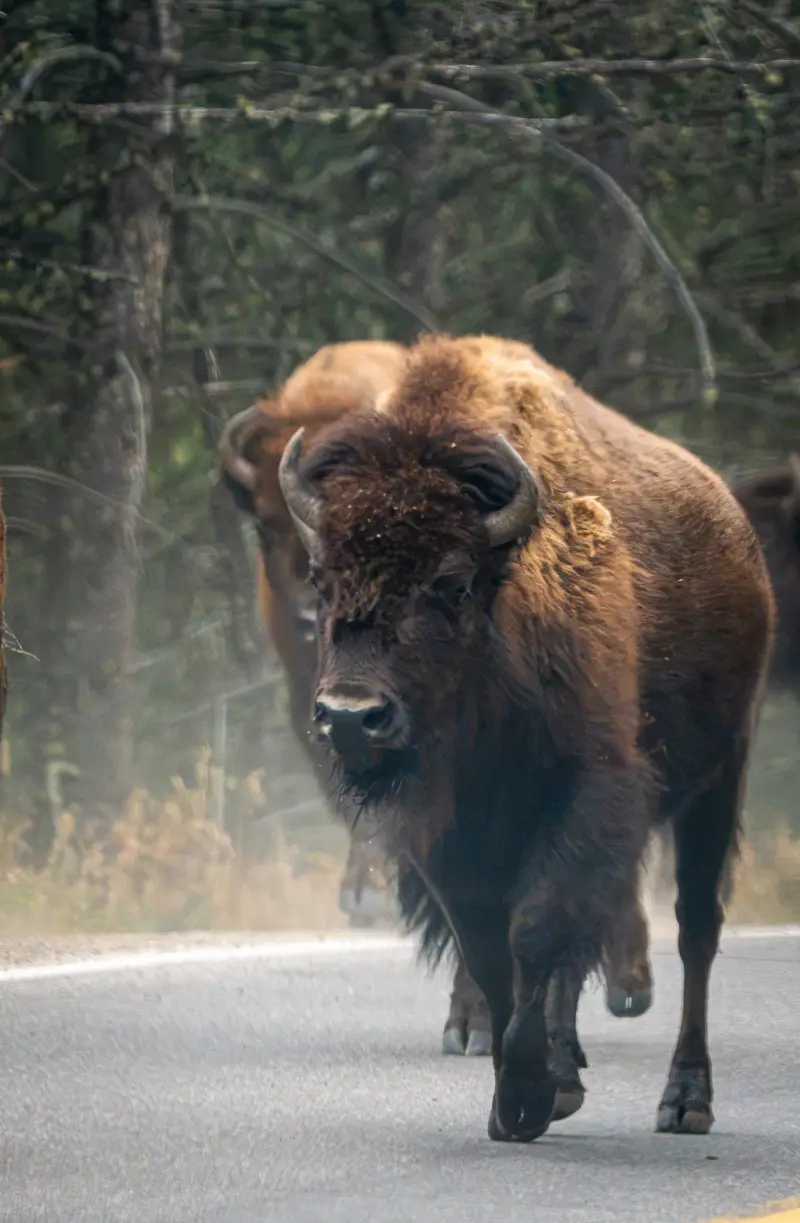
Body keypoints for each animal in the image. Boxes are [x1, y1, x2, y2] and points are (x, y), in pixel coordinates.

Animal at [276, 332, 774, 1141]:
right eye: (322, 579)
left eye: (451, 582)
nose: (350, 714)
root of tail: (735, 527)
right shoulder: (447, 831)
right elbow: (490, 946)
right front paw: (523, 1092)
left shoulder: (587, 795)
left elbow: (537, 931)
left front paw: (533, 1090)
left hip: (721, 776)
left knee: (696, 928)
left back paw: (685, 1100)